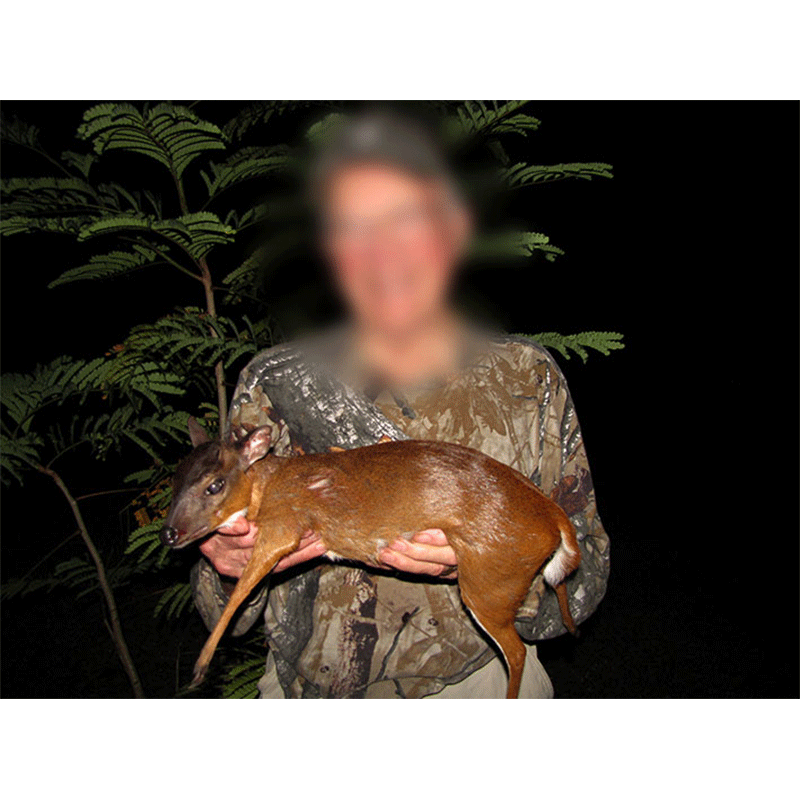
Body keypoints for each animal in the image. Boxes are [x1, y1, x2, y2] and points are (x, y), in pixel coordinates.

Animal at [162, 422, 580, 696]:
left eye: (214, 485)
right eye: (175, 480)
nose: (169, 533)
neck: (268, 484)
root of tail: (554, 517)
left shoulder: (284, 525)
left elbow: (239, 593)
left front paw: (199, 669)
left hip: (490, 580)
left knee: (517, 650)